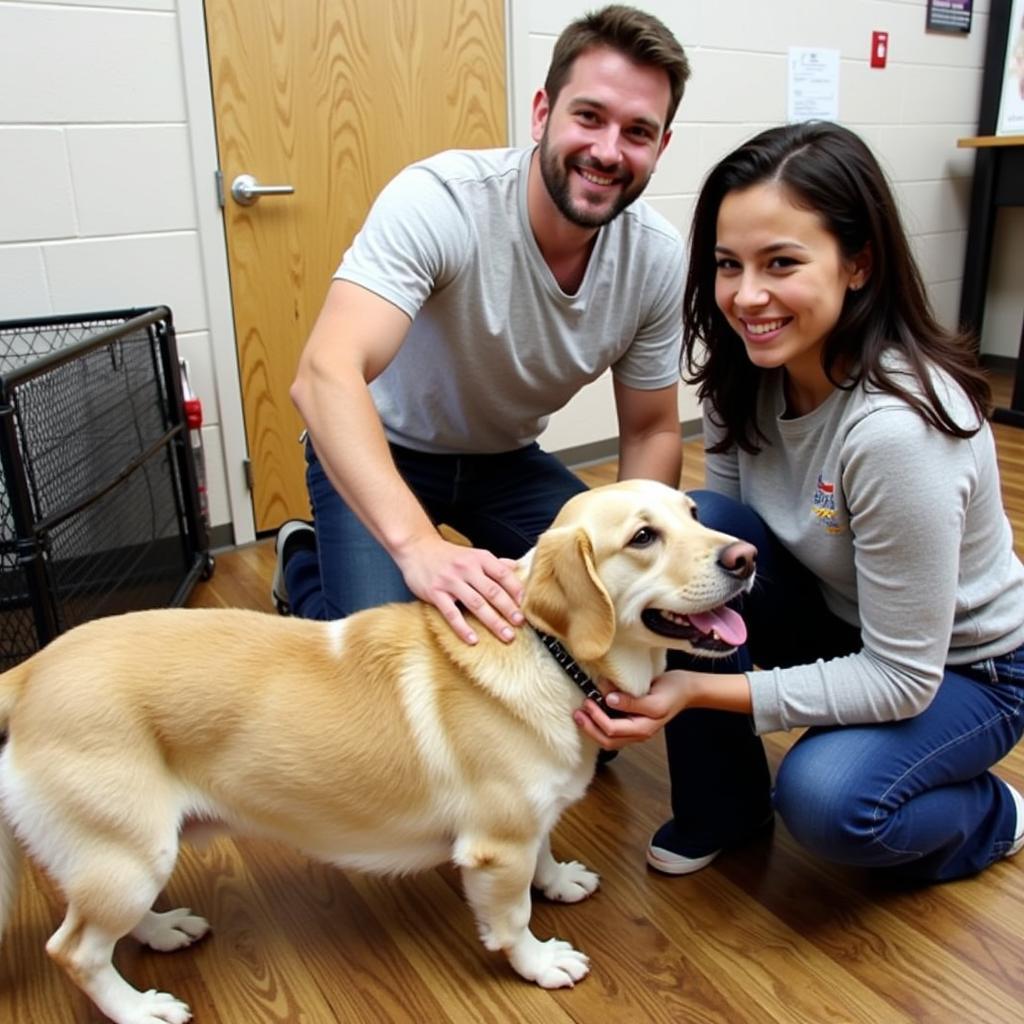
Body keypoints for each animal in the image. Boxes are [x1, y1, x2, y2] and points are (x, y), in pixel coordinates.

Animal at [0, 481, 753, 1024]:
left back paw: (163, 931)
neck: (550, 652)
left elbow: (543, 856)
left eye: (693, 512)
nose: (746, 557)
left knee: (108, 929)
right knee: (76, 950)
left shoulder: (528, 823)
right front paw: (540, 965)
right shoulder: (496, 846)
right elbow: (512, 919)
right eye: (643, 537)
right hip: (130, 854)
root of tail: (27, 672)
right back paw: (140, 1010)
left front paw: (559, 881)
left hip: (131, 856)